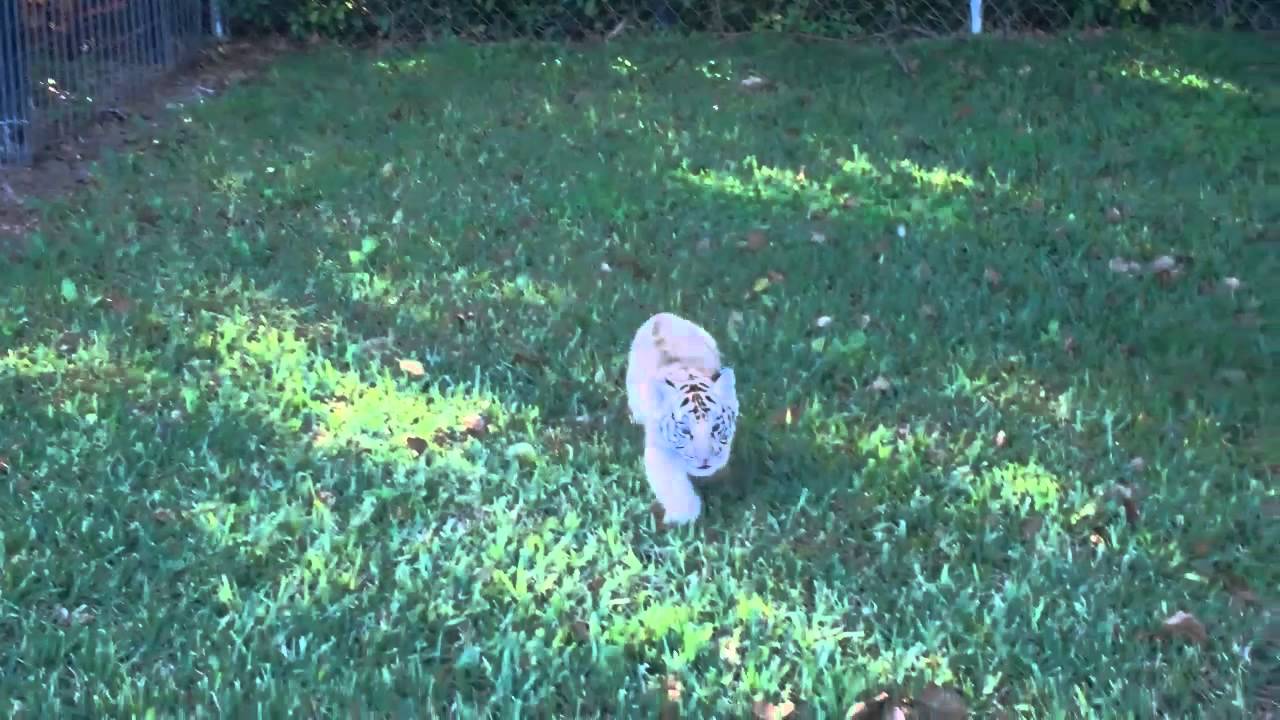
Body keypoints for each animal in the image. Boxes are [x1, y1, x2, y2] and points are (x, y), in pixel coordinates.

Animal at [625, 312, 739, 525]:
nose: (704, 461)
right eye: (685, 431)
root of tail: (660, 315)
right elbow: (671, 484)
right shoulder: (658, 448)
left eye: (715, 427)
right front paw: (683, 519)